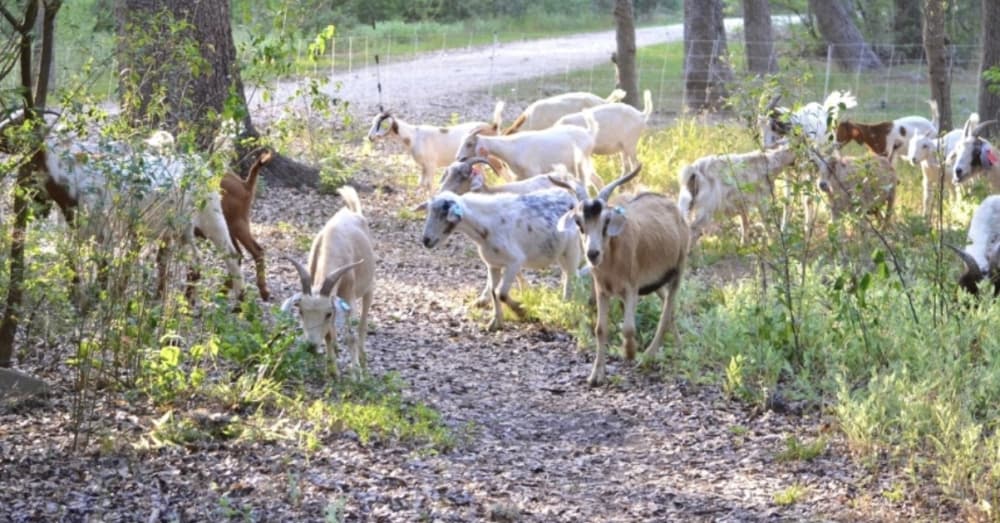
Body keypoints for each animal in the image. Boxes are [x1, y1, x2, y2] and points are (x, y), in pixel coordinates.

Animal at [281, 186, 376, 375]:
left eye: (327, 313)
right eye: (300, 311)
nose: (310, 347)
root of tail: (353, 211)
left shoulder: (348, 295)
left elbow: (351, 336)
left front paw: (355, 374)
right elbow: (329, 335)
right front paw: (332, 371)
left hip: (369, 287)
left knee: (362, 324)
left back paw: (363, 361)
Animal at [367, 101, 506, 193]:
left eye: (381, 124)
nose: (370, 137)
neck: (414, 136)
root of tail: (493, 127)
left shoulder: (431, 165)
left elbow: (429, 184)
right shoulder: (424, 167)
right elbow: (422, 184)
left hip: (493, 157)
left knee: (503, 169)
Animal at [420, 188, 582, 331]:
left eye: (443, 214)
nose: (426, 241)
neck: (486, 227)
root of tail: (571, 197)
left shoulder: (515, 261)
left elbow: (501, 293)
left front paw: (521, 311)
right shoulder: (493, 264)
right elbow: (493, 291)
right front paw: (495, 323)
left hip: (571, 249)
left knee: (571, 278)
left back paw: (566, 307)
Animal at [557, 165, 689, 386]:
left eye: (606, 221)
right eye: (578, 222)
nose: (593, 253)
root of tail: (671, 205)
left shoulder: (631, 287)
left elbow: (628, 327)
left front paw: (629, 352)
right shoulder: (602, 289)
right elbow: (600, 329)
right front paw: (596, 375)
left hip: (678, 267)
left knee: (666, 311)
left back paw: (648, 356)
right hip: (656, 280)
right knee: (667, 306)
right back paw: (679, 345)